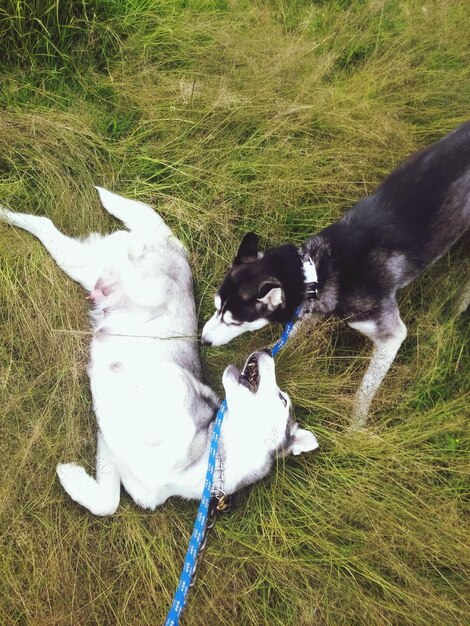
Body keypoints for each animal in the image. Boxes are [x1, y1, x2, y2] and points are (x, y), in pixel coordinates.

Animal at [0, 189, 318, 512]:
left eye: (282, 400)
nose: (265, 352)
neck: (210, 466)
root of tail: (174, 245)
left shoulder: (112, 447)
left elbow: (108, 502)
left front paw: (72, 478)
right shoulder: (168, 390)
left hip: (79, 262)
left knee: (45, 227)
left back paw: (7, 215)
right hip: (138, 278)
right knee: (143, 279)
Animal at [202, 120, 470, 428]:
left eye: (234, 322)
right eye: (216, 307)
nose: (203, 340)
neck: (320, 269)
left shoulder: (390, 335)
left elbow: (364, 390)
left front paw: (355, 427)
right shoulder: (310, 309)